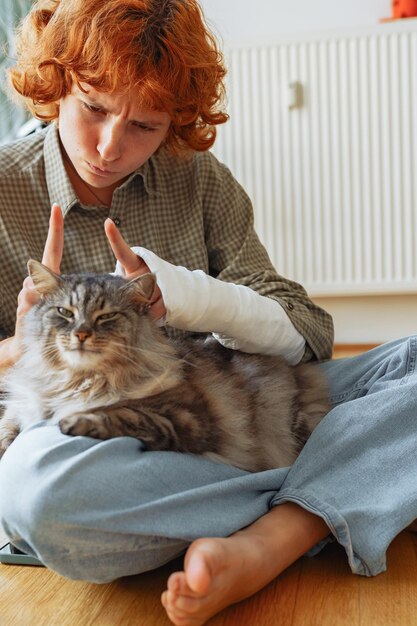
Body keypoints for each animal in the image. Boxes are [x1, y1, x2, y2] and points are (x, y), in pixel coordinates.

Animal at [0, 258, 330, 468]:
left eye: (107, 316)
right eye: (65, 313)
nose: (81, 333)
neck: (78, 381)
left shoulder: (189, 417)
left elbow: (125, 415)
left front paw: (76, 420)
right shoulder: (19, 410)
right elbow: (6, 432)